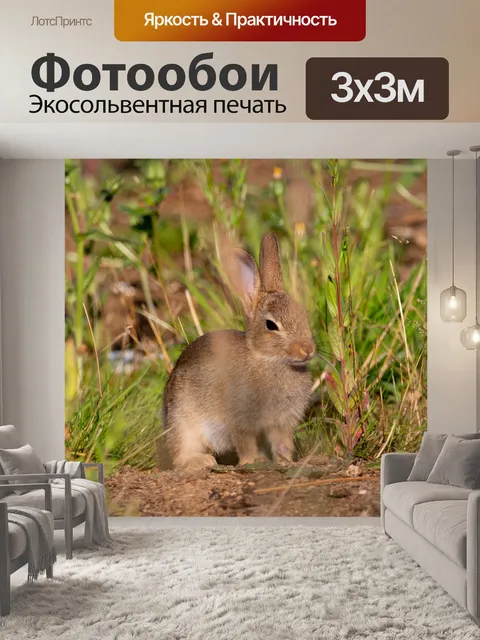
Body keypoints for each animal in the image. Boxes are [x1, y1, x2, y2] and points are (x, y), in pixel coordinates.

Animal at [162, 232, 316, 471]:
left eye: (303, 315)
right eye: (271, 325)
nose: (307, 350)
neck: (268, 359)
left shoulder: (281, 423)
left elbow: (282, 444)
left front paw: (287, 463)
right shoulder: (240, 420)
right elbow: (245, 442)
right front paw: (252, 462)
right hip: (183, 422)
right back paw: (200, 461)